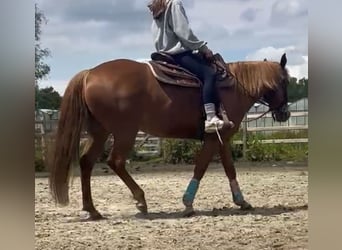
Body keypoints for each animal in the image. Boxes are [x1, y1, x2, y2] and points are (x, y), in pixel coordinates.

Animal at [50, 52, 292, 219]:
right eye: (285, 81)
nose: (285, 113)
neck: (234, 87)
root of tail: (89, 73)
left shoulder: (222, 138)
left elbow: (229, 168)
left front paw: (242, 201)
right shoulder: (213, 139)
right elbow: (201, 167)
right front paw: (188, 203)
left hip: (100, 132)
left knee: (86, 162)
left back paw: (92, 210)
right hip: (125, 131)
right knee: (115, 161)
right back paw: (140, 200)